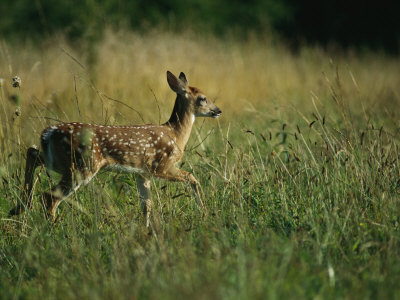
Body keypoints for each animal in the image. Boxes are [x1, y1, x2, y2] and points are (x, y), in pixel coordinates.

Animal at [8, 71, 222, 225]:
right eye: (202, 98)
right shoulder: (161, 166)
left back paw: (20, 206)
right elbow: (192, 178)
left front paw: (147, 230)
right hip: (83, 165)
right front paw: (203, 211)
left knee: (32, 153)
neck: (175, 134)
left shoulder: (142, 173)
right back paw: (51, 227)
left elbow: (146, 204)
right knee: (49, 196)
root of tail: (49, 133)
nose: (218, 110)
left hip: (60, 160)